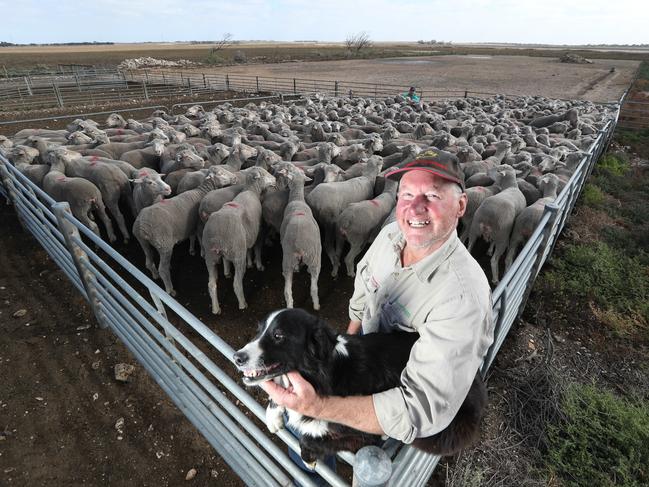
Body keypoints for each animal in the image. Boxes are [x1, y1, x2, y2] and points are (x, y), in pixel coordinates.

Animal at [132, 168, 238, 298]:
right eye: (221, 173)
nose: (235, 177)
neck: (202, 192)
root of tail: (141, 225)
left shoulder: (190, 225)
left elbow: (192, 237)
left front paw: (192, 250)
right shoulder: (199, 224)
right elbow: (199, 238)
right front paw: (202, 252)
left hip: (143, 242)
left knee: (148, 261)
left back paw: (155, 275)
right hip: (164, 244)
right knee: (163, 269)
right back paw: (170, 290)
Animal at [201, 166, 274, 314]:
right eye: (264, 174)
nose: (275, 179)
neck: (251, 190)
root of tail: (218, 235)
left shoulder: (247, 237)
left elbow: (248, 250)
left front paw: (249, 262)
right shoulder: (258, 234)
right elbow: (257, 249)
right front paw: (258, 265)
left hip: (211, 257)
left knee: (211, 284)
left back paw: (216, 308)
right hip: (237, 254)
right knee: (236, 283)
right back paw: (242, 303)